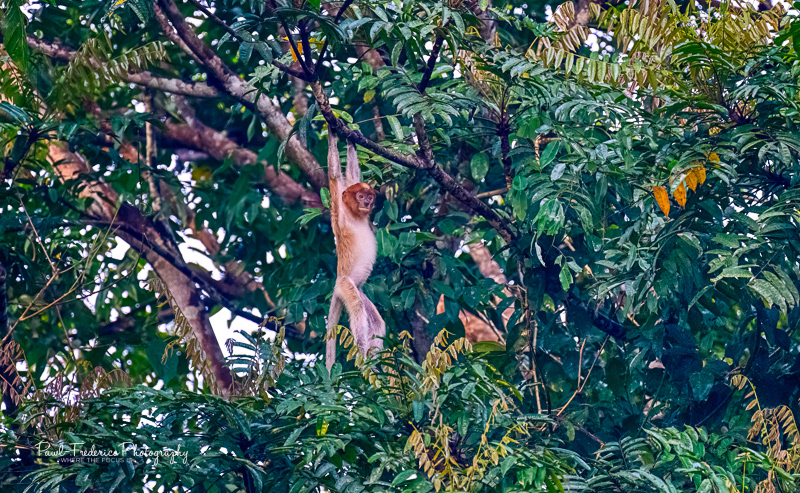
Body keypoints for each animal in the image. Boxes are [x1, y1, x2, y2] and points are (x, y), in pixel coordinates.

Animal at [325, 130, 385, 370]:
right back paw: (364, 357)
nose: (367, 203)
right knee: (358, 311)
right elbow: (334, 174)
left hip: (358, 289)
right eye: (361, 197)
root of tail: (336, 282)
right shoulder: (338, 208)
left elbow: (351, 174)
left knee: (377, 323)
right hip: (347, 286)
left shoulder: (348, 187)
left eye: (369, 197)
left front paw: (352, 138)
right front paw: (332, 130)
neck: (355, 215)